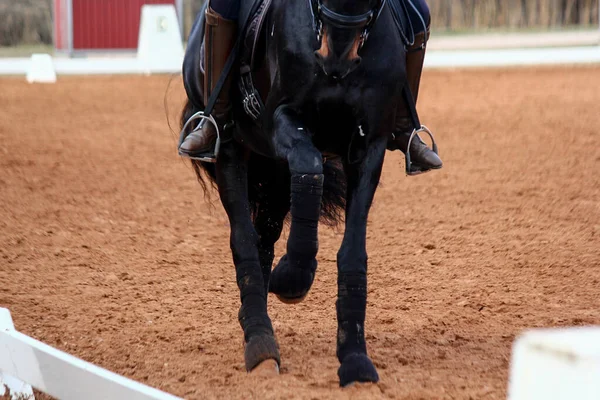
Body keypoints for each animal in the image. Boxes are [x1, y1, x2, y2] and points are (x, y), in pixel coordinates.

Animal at [180, 0, 420, 388]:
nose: (335, 58)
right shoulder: (282, 119)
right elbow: (310, 166)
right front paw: (293, 276)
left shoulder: (371, 144)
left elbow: (353, 251)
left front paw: (354, 358)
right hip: (232, 147)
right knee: (243, 238)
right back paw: (260, 344)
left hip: (275, 171)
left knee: (264, 235)